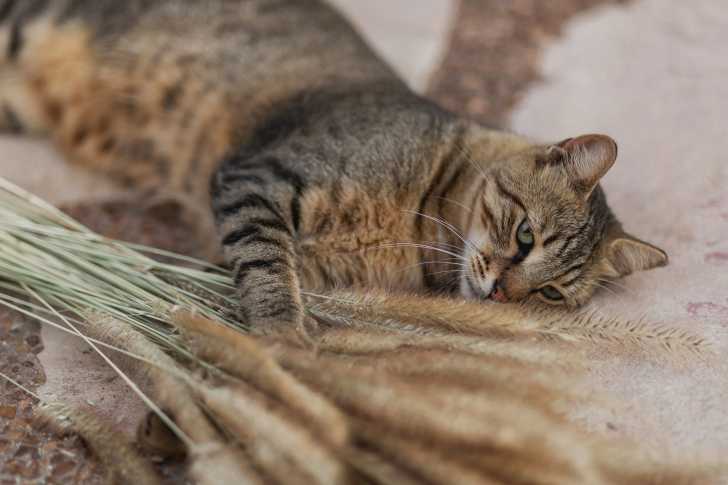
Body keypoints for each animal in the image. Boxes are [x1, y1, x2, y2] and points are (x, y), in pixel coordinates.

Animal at [0, 0, 664, 328]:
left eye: (550, 294)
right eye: (526, 236)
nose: (504, 293)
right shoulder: (258, 176)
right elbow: (268, 266)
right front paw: (281, 334)